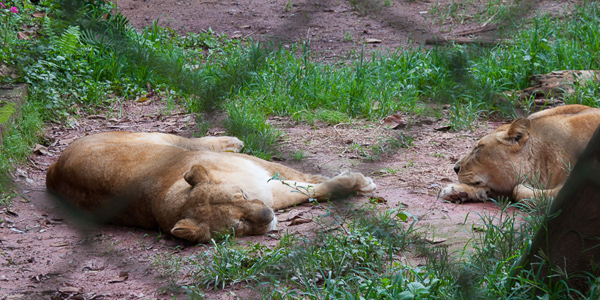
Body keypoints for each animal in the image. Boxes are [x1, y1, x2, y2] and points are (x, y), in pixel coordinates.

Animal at [45, 131, 376, 241]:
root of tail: (53, 170)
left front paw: (355, 180)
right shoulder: (269, 190)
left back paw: (231, 141)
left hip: (156, 137)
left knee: (191, 139)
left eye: (242, 194)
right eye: (238, 225)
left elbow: (301, 178)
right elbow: (309, 190)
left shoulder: (260, 174)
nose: (268, 216)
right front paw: (355, 182)